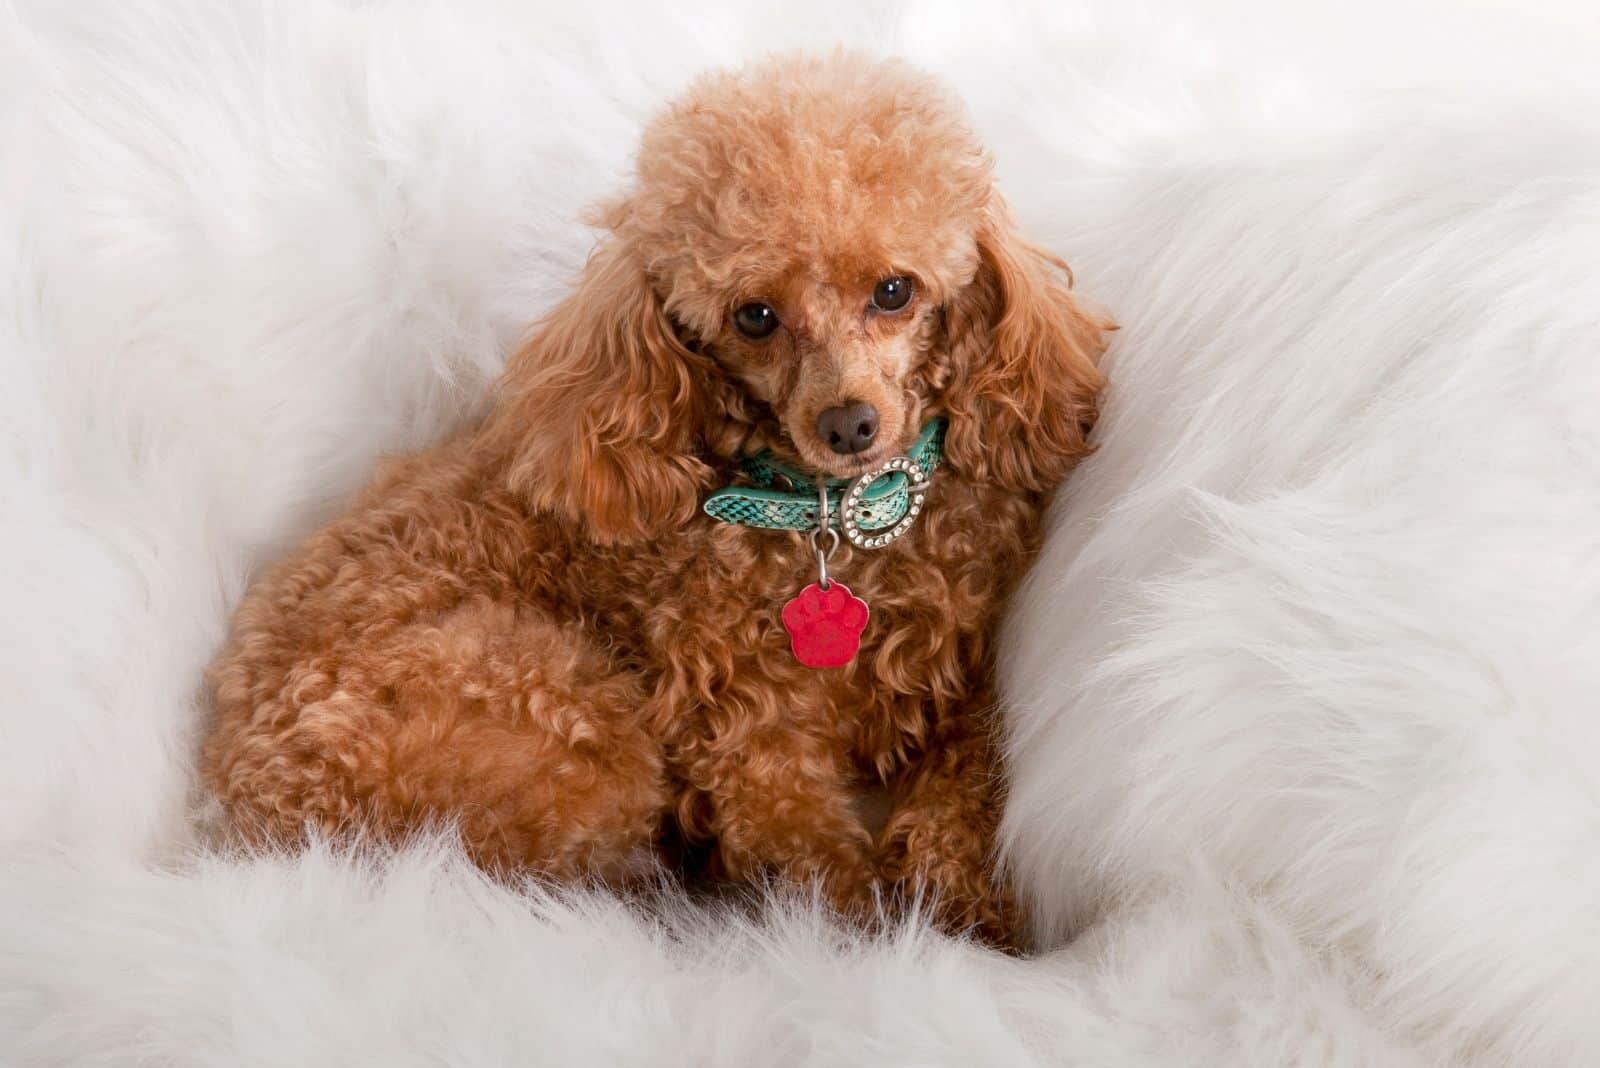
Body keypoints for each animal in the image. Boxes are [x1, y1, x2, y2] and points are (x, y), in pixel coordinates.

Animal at [200, 54, 1107, 946]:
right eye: (754, 316)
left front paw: (960, 899)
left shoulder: (968, 679)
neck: (833, 522)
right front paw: (874, 930)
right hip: (571, 716)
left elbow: (969, 782)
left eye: (894, 291)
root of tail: (245, 807)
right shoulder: (746, 741)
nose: (849, 423)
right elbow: (815, 870)